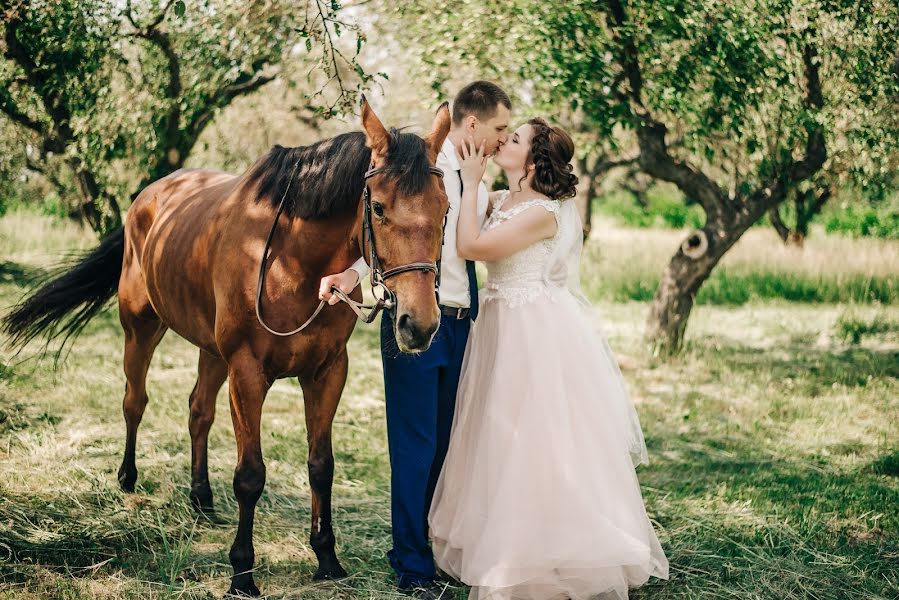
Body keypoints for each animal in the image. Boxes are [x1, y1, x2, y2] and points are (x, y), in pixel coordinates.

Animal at [0, 99, 450, 596]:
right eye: (380, 208)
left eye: (446, 207)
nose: (419, 325)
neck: (289, 261)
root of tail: (148, 196)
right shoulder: (247, 372)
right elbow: (250, 475)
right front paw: (242, 573)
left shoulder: (328, 371)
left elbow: (321, 465)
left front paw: (327, 557)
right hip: (142, 328)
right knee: (134, 402)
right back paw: (128, 478)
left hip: (210, 352)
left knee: (199, 411)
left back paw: (201, 498)